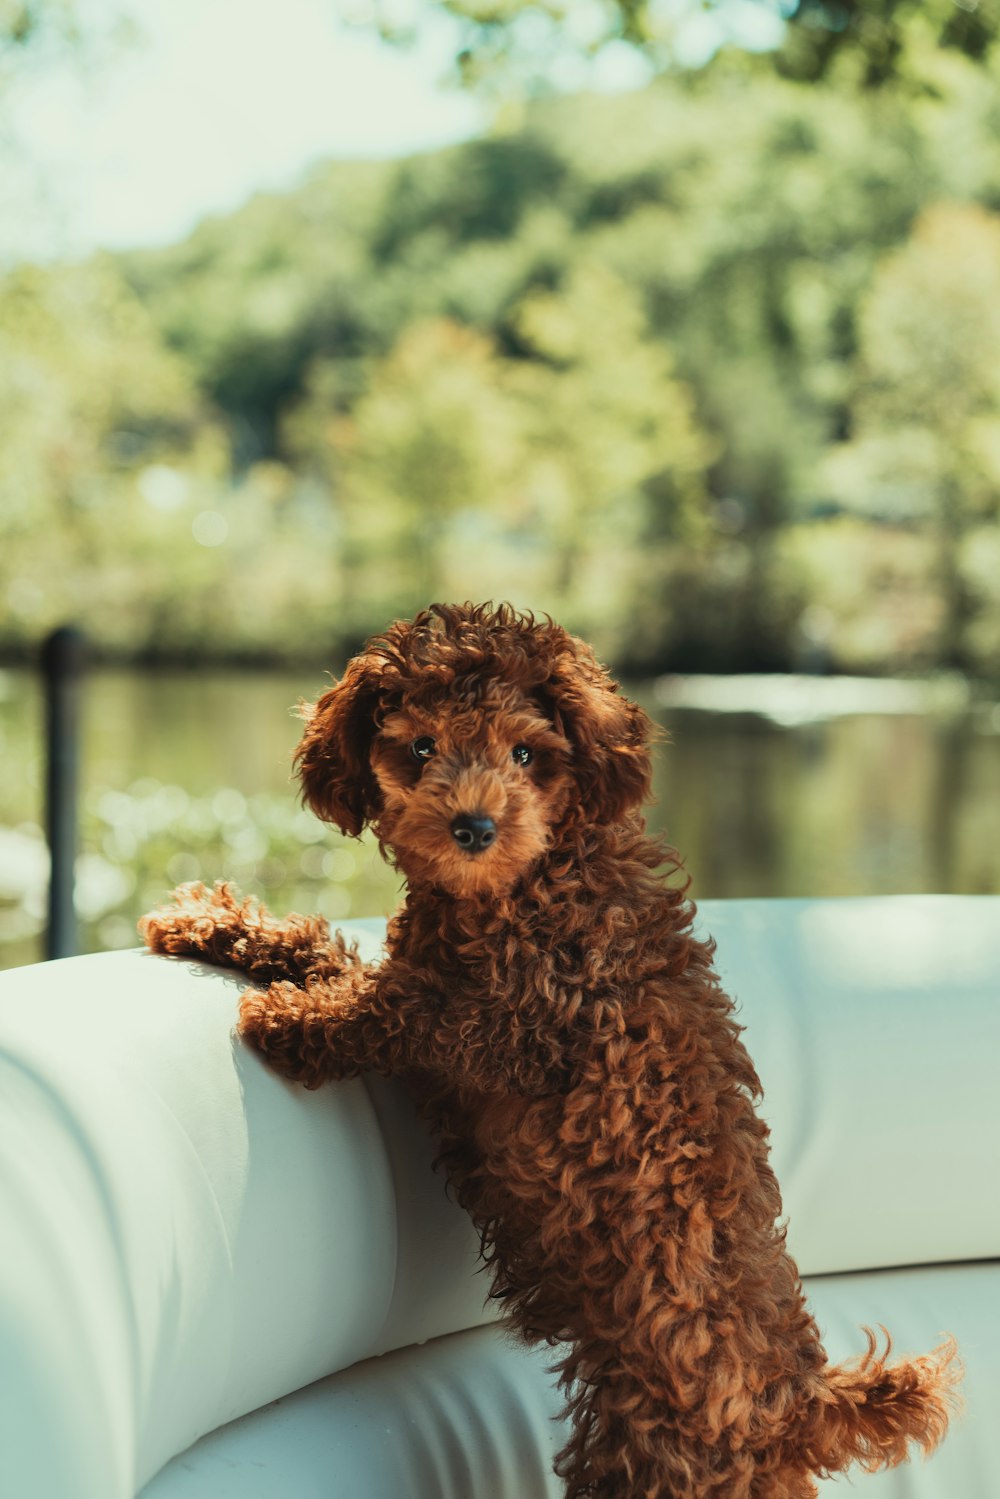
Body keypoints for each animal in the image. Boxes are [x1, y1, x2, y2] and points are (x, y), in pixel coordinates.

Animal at [142, 599, 959, 1499]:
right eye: (420, 745)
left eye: (526, 752)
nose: (473, 826)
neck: (537, 880)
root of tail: (803, 1401)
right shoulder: (434, 962)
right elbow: (332, 949)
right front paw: (211, 915)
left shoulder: (504, 1019)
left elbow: (385, 1008)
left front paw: (287, 1019)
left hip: (651, 1464)